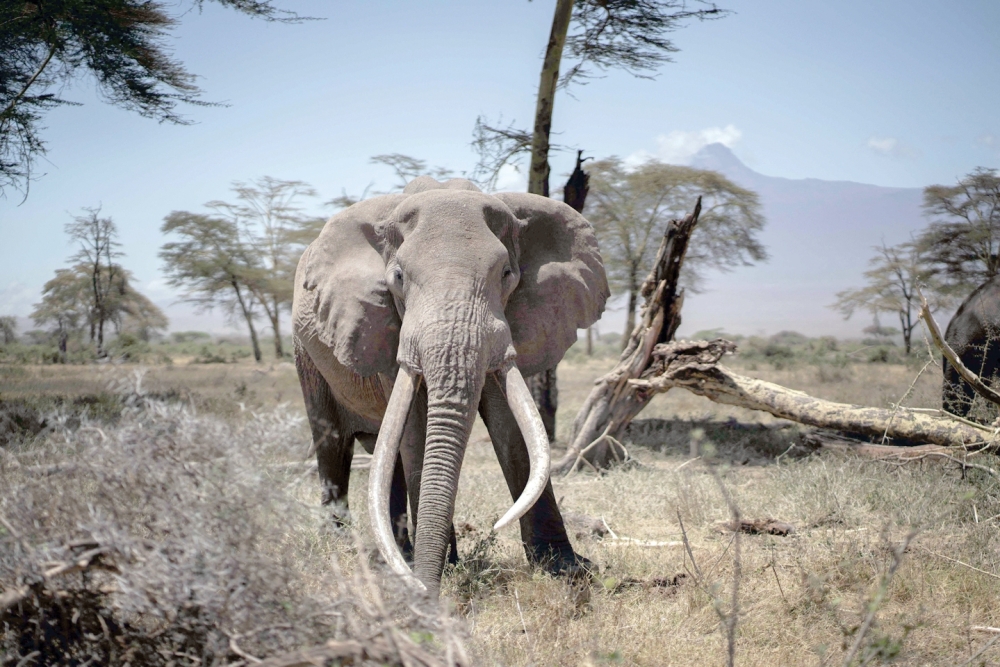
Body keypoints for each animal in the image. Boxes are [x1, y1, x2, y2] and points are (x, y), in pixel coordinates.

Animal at [292, 176, 609, 597]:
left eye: (506, 274)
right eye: (397, 278)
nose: (428, 592)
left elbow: (512, 426)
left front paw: (565, 568)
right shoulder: (389, 328)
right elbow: (415, 429)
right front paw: (443, 569)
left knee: (385, 458)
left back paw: (401, 552)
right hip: (305, 356)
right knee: (332, 445)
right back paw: (344, 546)